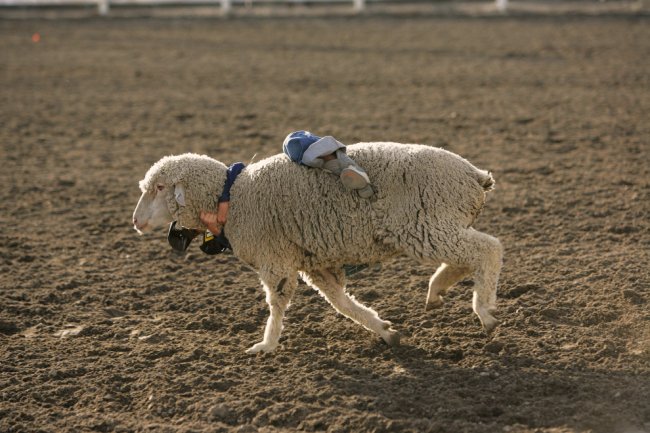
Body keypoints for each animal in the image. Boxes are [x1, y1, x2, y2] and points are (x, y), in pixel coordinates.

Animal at [133, 143, 502, 352]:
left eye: (160, 188)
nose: (136, 222)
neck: (232, 197)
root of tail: (475, 175)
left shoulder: (276, 259)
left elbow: (277, 302)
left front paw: (266, 345)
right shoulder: (314, 262)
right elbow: (341, 302)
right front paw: (383, 330)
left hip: (424, 224)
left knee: (489, 249)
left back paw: (484, 311)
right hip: (437, 226)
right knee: (467, 257)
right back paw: (438, 290)